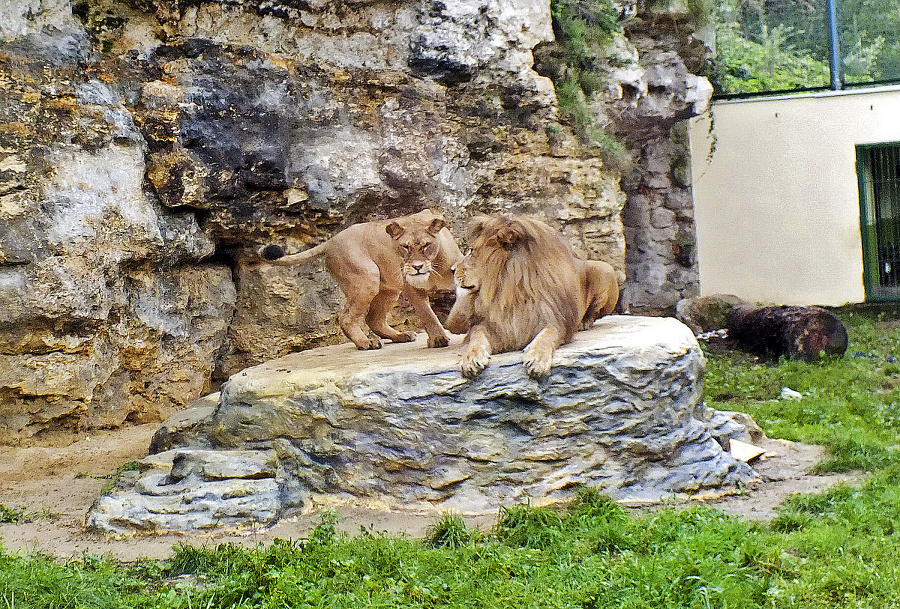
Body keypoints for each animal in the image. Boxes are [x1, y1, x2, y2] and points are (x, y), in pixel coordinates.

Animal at [258, 209, 458, 350]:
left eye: (426, 245)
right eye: (405, 247)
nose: (417, 267)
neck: (434, 269)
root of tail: (331, 240)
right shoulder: (410, 286)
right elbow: (428, 314)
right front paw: (439, 339)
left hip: (388, 290)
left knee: (373, 319)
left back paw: (399, 336)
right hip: (367, 279)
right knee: (346, 318)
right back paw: (365, 342)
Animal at [444, 213, 620, 376]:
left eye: (472, 251)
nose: (452, 269)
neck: (508, 290)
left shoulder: (555, 319)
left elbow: (548, 335)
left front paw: (537, 359)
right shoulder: (493, 325)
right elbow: (476, 338)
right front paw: (471, 359)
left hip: (604, 269)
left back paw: (583, 322)